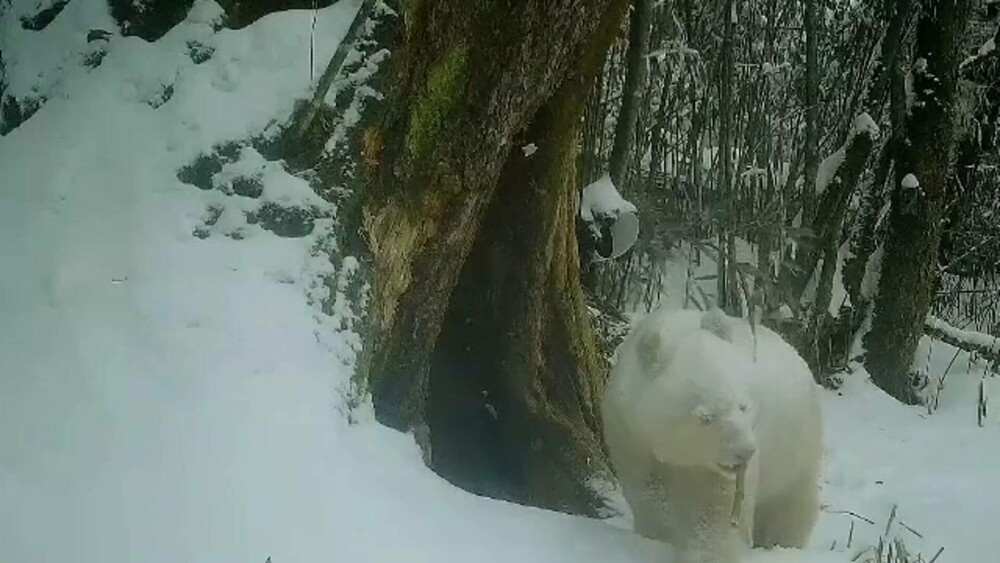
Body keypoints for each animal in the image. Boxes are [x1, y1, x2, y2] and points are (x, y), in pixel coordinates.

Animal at [600, 308, 820, 563]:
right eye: (706, 416)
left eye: (743, 406)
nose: (745, 452)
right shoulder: (631, 434)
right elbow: (649, 496)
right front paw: (658, 537)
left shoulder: (717, 471)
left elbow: (717, 513)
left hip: (795, 445)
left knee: (789, 505)